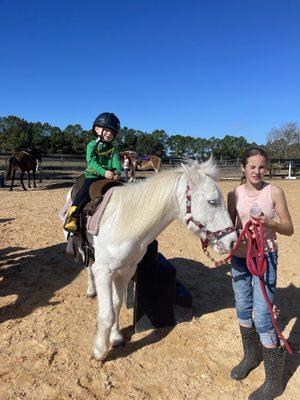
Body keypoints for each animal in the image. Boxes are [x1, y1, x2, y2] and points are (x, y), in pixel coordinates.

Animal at [63, 158, 237, 360]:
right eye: (212, 202)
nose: (233, 241)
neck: (124, 222)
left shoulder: (125, 270)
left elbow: (116, 304)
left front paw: (115, 338)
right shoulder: (104, 272)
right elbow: (107, 314)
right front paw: (100, 350)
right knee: (87, 267)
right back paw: (91, 290)